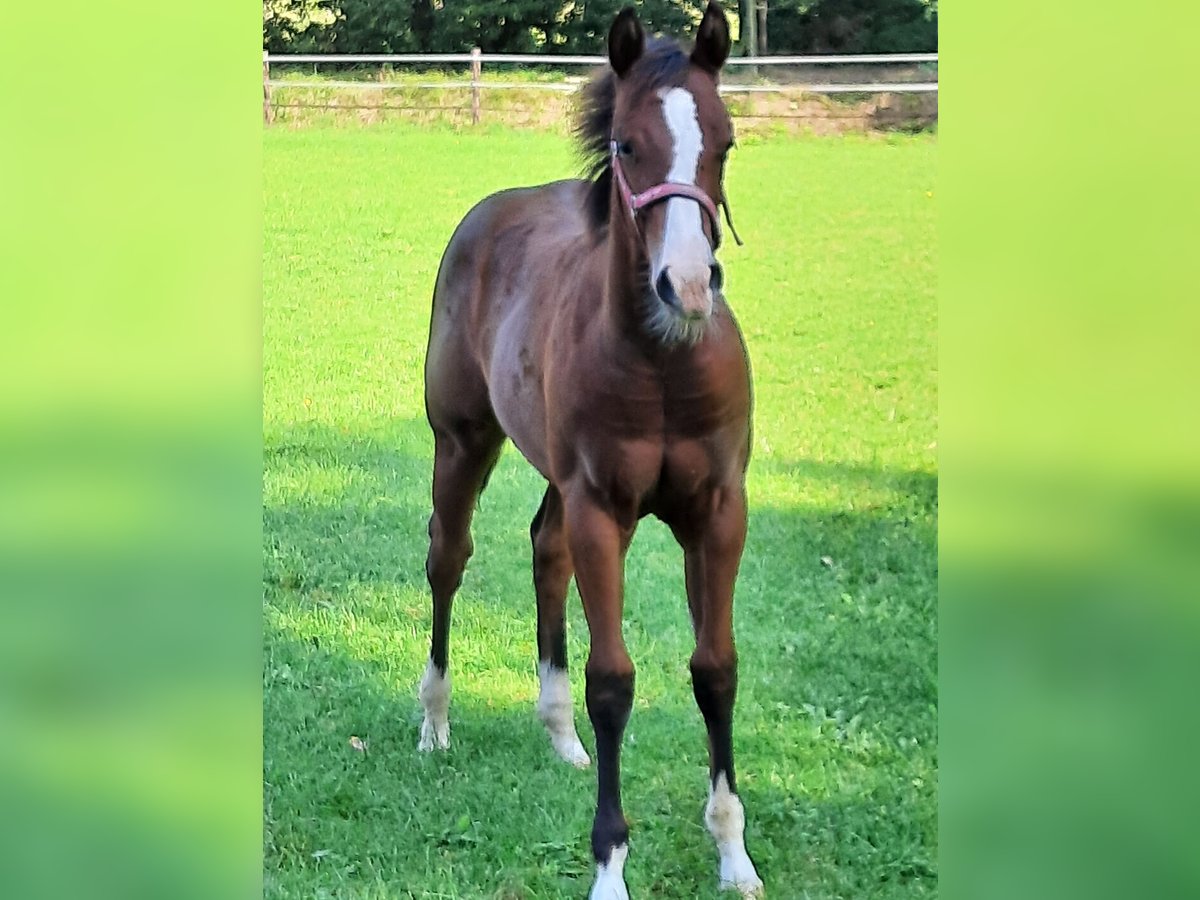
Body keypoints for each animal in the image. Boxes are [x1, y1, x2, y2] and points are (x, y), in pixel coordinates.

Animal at [417, 3, 763, 897]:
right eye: (626, 145)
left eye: (725, 142)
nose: (687, 285)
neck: (663, 363)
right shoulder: (603, 508)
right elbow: (614, 682)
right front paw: (609, 864)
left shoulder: (717, 510)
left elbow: (716, 668)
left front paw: (733, 853)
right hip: (463, 441)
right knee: (448, 558)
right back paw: (434, 722)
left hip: (557, 478)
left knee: (545, 548)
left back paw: (559, 733)